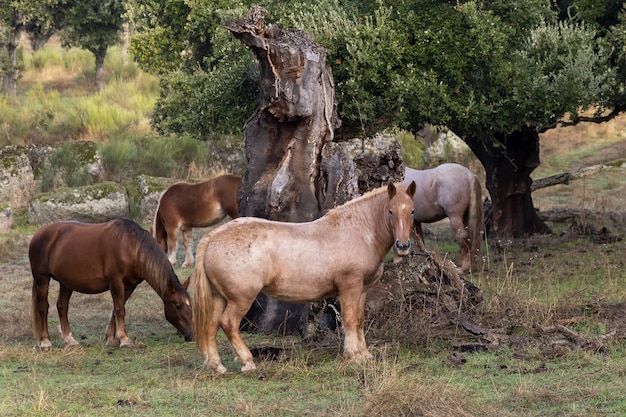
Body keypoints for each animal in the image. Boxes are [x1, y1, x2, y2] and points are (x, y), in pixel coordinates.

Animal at [28, 216, 193, 350]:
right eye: (178, 305)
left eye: (190, 304)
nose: (191, 335)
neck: (129, 245)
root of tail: (39, 234)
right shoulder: (116, 281)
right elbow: (120, 309)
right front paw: (124, 340)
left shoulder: (130, 285)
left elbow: (117, 309)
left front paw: (111, 339)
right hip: (42, 279)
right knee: (43, 308)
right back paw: (45, 342)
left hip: (66, 282)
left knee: (62, 307)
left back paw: (70, 340)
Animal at [190, 180, 414, 372]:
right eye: (391, 211)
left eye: (411, 211)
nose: (403, 246)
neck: (358, 231)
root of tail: (213, 237)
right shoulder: (349, 286)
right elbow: (350, 320)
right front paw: (353, 355)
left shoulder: (362, 290)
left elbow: (359, 320)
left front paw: (364, 354)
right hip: (241, 298)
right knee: (228, 324)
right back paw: (247, 361)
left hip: (218, 297)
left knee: (211, 325)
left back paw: (217, 365)